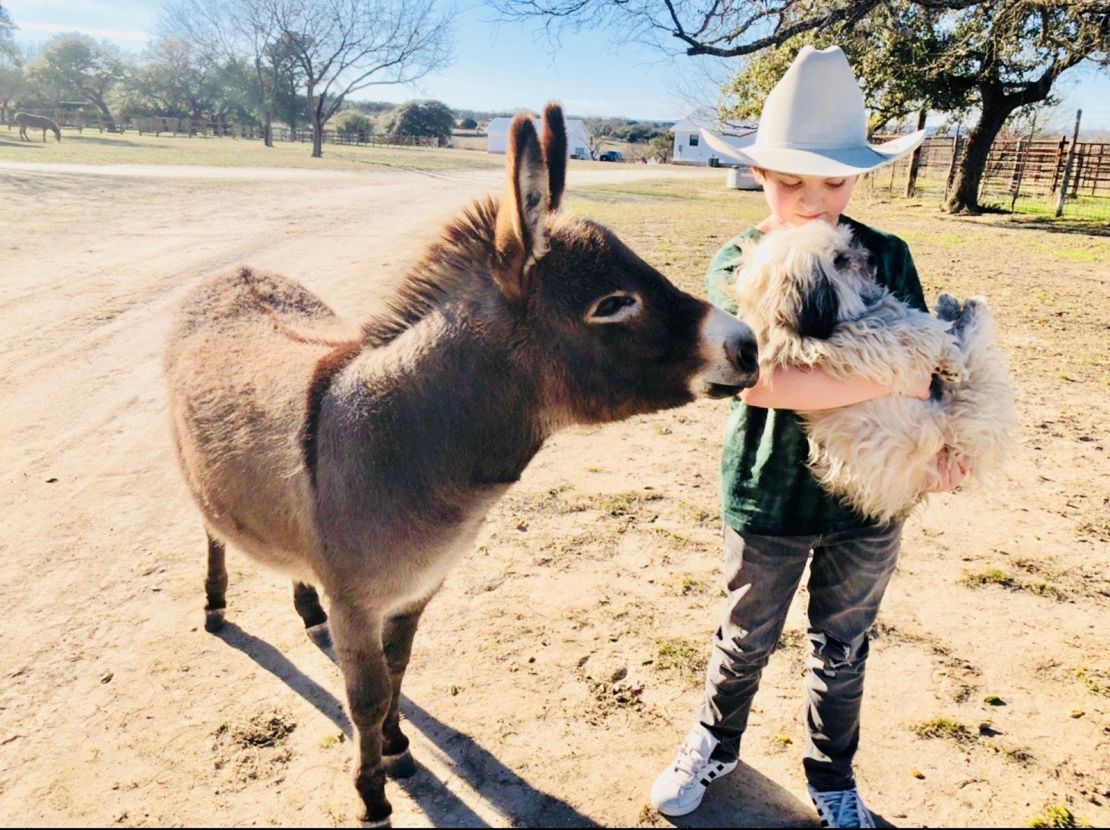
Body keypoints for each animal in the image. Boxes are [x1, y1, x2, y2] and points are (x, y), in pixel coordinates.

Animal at [162, 102, 754, 825]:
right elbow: (365, 697)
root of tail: (235, 271)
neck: (405, 442)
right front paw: (372, 795)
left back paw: (304, 607)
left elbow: (398, 671)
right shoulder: (358, 601)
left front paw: (397, 748)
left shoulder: (417, 590)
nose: (748, 345)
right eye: (613, 304)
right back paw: (216, 605)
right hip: (199, 480)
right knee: (214, 534)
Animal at [732, 218, 1016, 519]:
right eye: (839, 259)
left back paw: (949, 304)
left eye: (849, 244)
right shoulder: (868, 341)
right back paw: (970, 309)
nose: (868, 258)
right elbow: (924, 331)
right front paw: (948, 358)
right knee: (971, 341)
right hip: (970, 404)